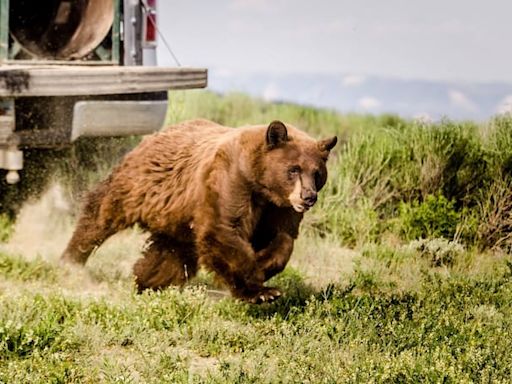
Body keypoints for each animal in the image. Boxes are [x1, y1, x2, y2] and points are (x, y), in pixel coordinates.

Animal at [60, 118, 338, 304]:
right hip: (140, 185)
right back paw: (72, 258)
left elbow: (282, 238)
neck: (259, 181)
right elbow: (225, 229)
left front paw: (264, 265)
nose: (308, 197)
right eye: (293, 169)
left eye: (317, 173)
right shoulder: (231, 181)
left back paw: (146, 281)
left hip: (178, 216)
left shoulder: (277, 207)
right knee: (102, 212)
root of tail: (156, 134)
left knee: (170, 253)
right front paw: (261, 292)